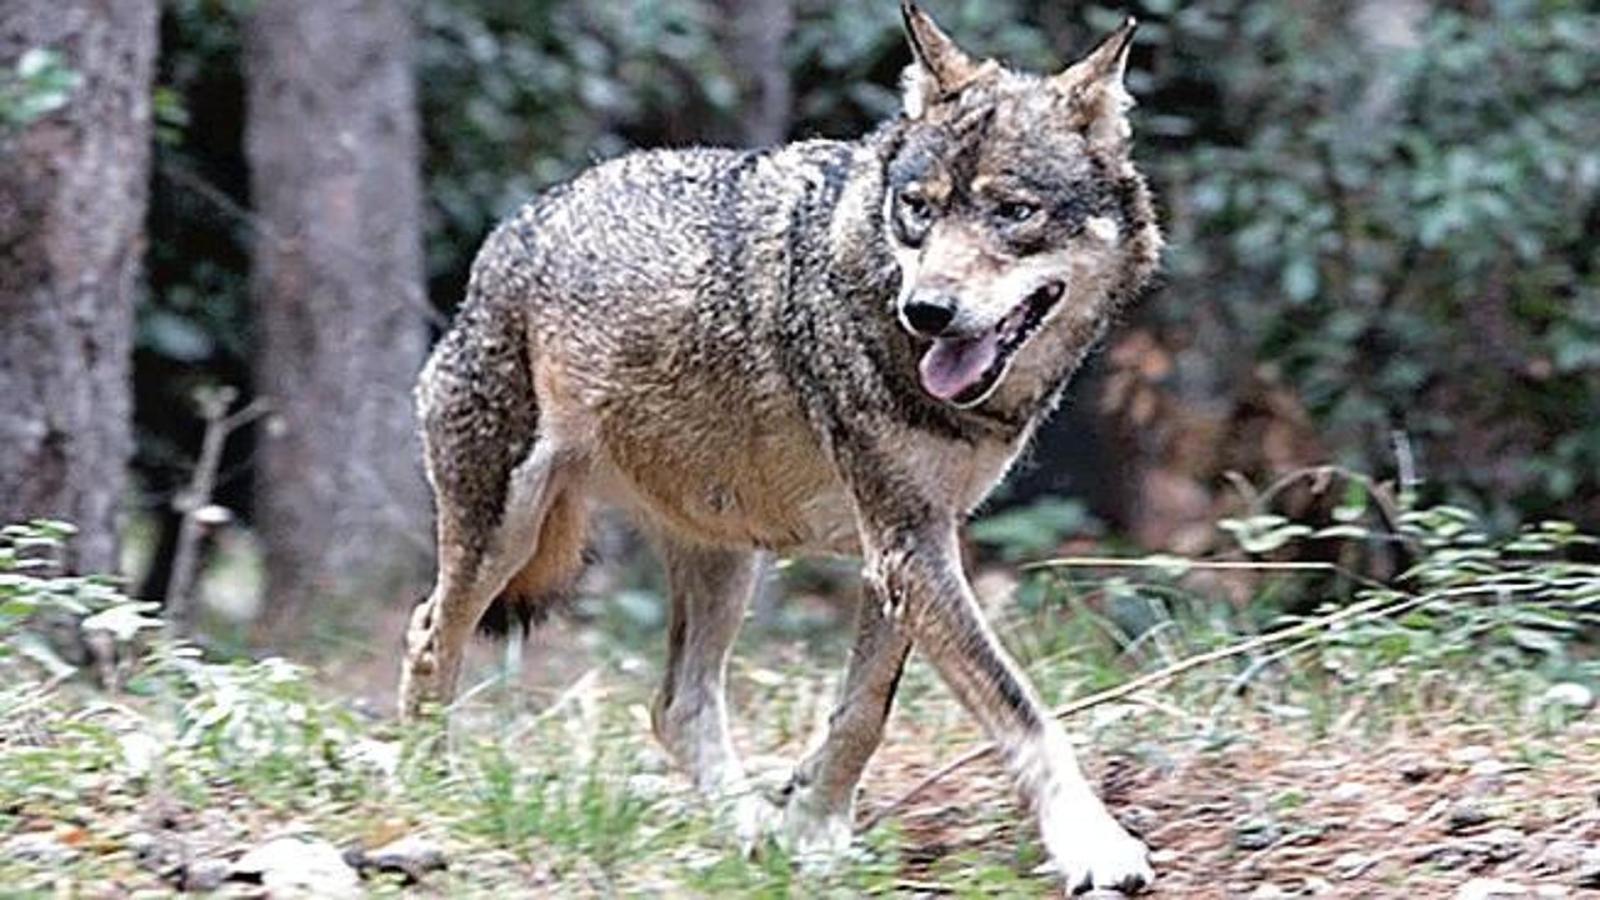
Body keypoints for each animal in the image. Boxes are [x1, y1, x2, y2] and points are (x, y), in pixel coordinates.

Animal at [398, 3, 1162, 892]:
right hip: (506, 535)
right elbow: (1020, 706)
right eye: (919, 209)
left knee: (676, 706)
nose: (927, 310)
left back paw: (750, 830)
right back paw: (428, 788)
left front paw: (811, 827)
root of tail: (511, 232)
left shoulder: (906, 550)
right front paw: (1093, 845)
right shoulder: (908, 547)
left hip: (726, 558)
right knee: (428, 636)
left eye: (1013, 213)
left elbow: (863, 712)